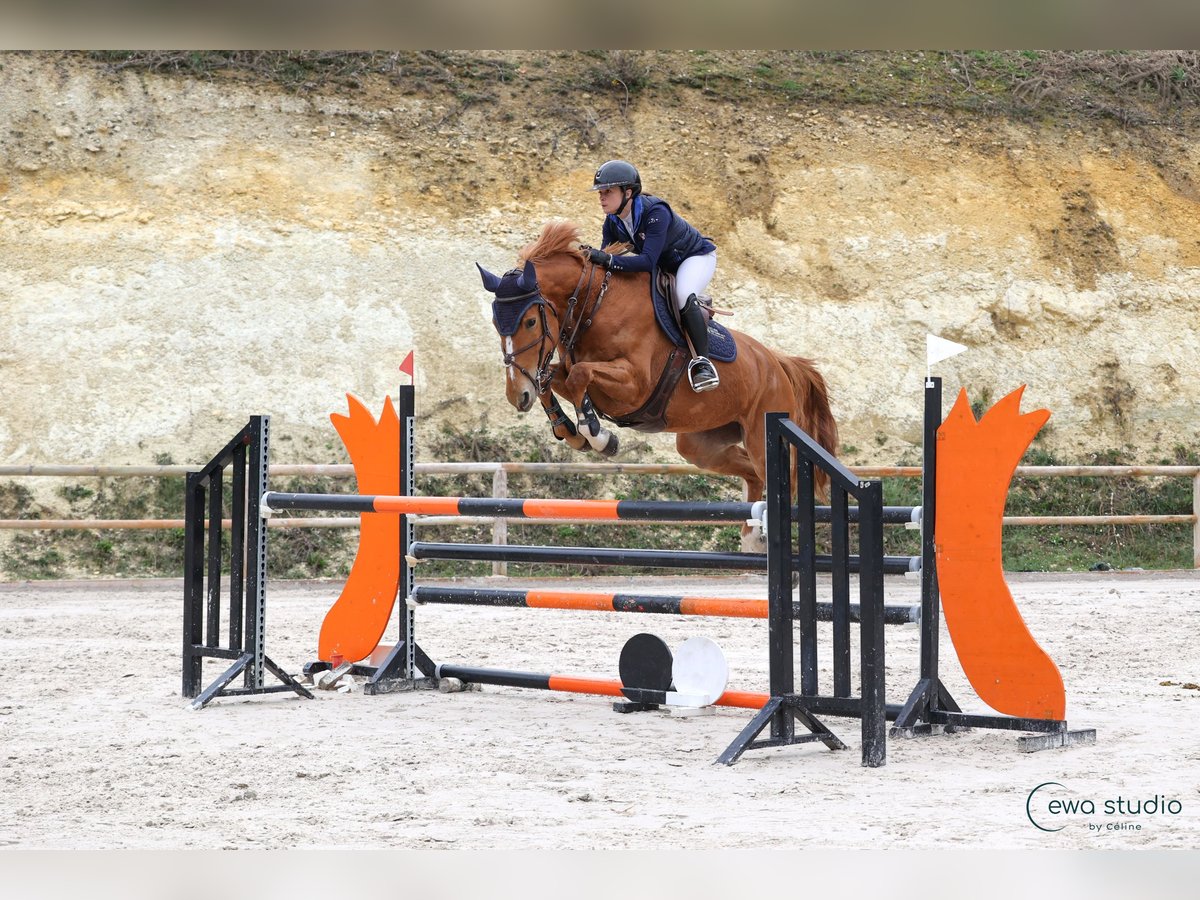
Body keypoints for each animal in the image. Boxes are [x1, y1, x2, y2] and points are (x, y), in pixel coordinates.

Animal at [475, 224, 835, 549]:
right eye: (495, 322)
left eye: (530, 321)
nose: (517, 396)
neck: (594, 305)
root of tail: (778, 362)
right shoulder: (570, 372)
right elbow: (553, 380)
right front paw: (571, 431)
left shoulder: (635, 386)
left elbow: (579, 375)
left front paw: (598, 435)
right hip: (701, 445)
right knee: (752, 474)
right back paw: (752, 538)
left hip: (763, 432)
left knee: (778, 479)